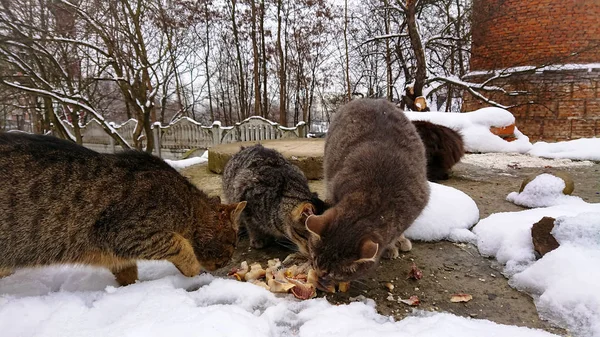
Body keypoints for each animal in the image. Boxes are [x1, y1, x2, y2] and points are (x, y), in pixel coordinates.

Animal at [0, 133, 246, 284]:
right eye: (232, 244)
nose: (227, 263)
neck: (187, 206)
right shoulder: (125, 233)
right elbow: (179, 244)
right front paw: (193, 268)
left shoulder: (119, 253)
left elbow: (127, 272)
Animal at [304, 98, 432, 282]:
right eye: (314, 259)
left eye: (333, 273)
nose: (319, 275)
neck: (376, 194)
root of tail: (371, 99)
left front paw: (393, 244)